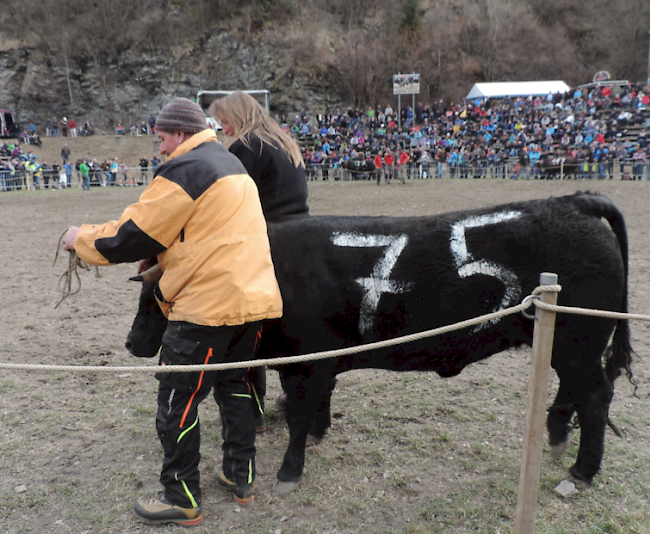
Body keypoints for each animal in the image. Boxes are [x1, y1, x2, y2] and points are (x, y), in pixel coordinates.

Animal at [125, 193, 628, 498]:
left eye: (160, 296)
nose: (132, 343)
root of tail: (573, 202)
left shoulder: (304, 363)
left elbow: (299, 415)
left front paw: (289, 471)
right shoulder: (317, 361)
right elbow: (316, 406)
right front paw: (319, 434)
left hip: (579, 341)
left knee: (597, 396)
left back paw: (581, 471)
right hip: (569, 342)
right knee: (575, 390)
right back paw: (557, 435)